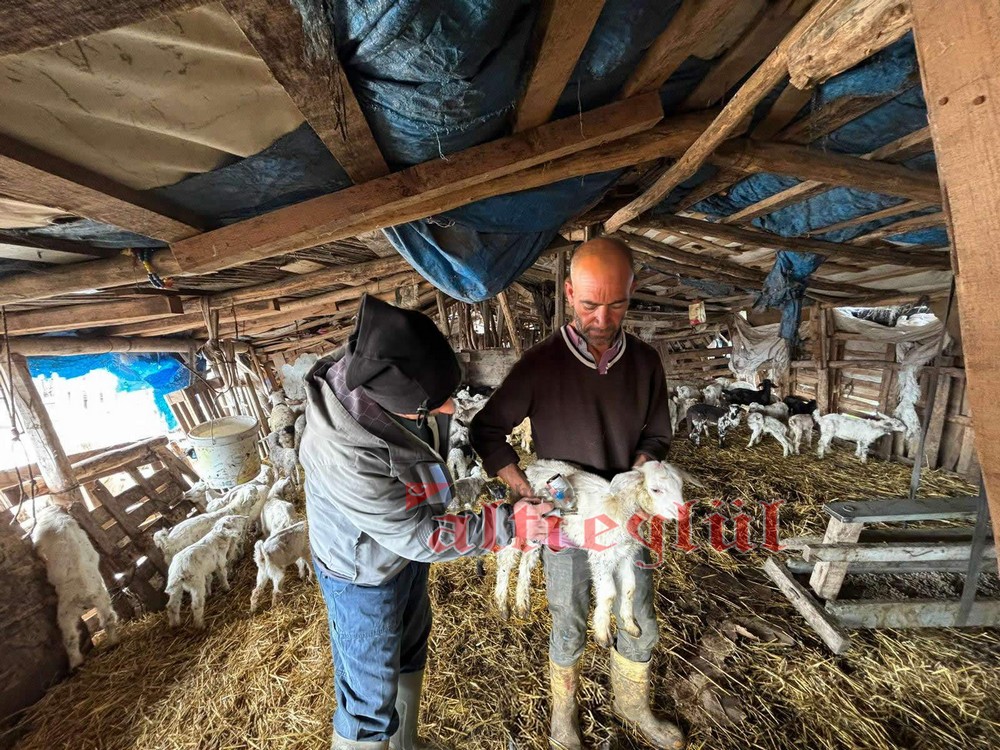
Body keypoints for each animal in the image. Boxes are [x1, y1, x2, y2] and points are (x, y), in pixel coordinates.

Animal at [31, 505, 119, 669]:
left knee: (71, 637)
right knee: (108, 619)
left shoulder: (39, 539)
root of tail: (88, 594)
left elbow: (38, 549)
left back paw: (75, 663)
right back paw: (113, 643)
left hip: (66, 611)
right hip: (103, 599)